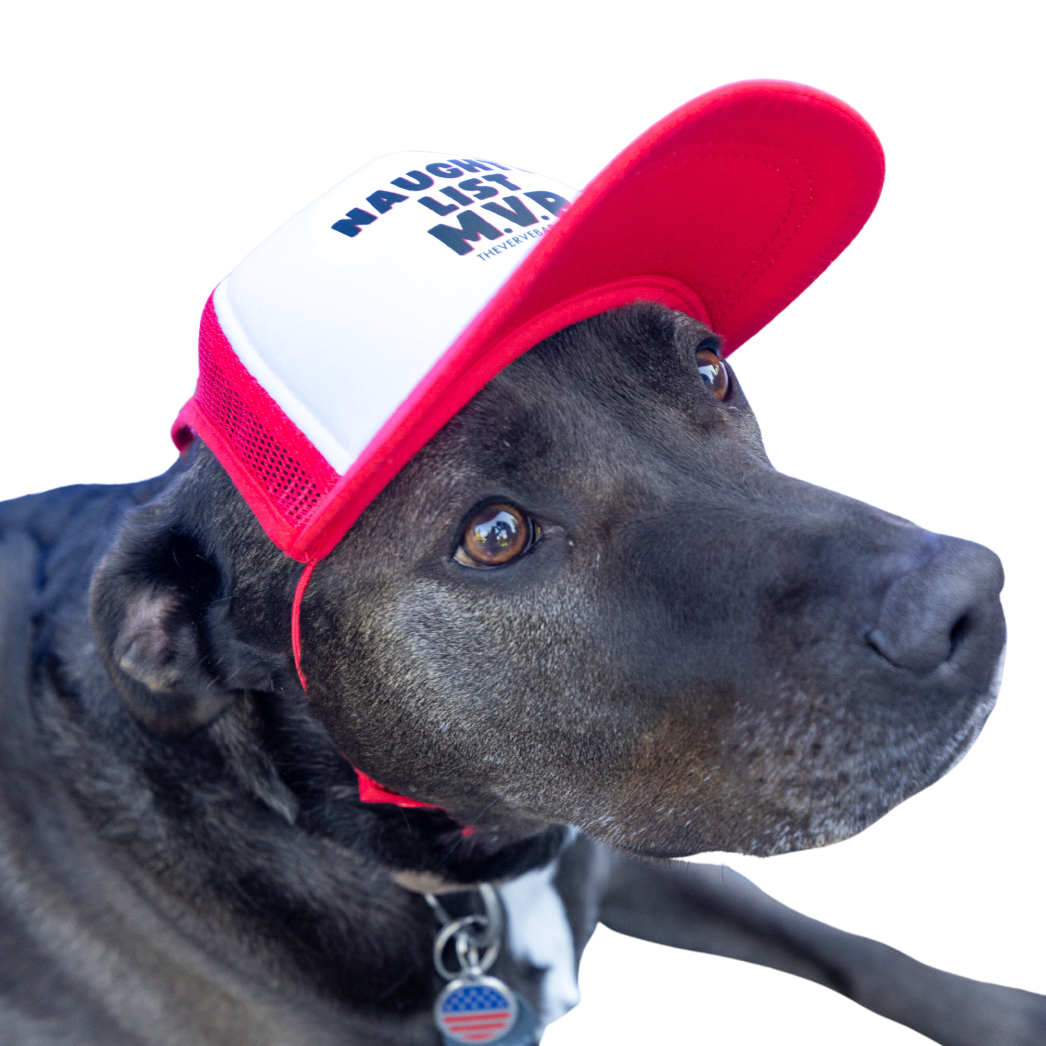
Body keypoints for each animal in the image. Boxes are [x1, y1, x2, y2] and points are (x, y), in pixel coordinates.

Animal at [2, 299, 1046, 1041]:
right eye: (495, 534)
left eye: (711, 368)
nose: (967, 603)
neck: (470, 877)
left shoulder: (613, 845)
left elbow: (845, 945)